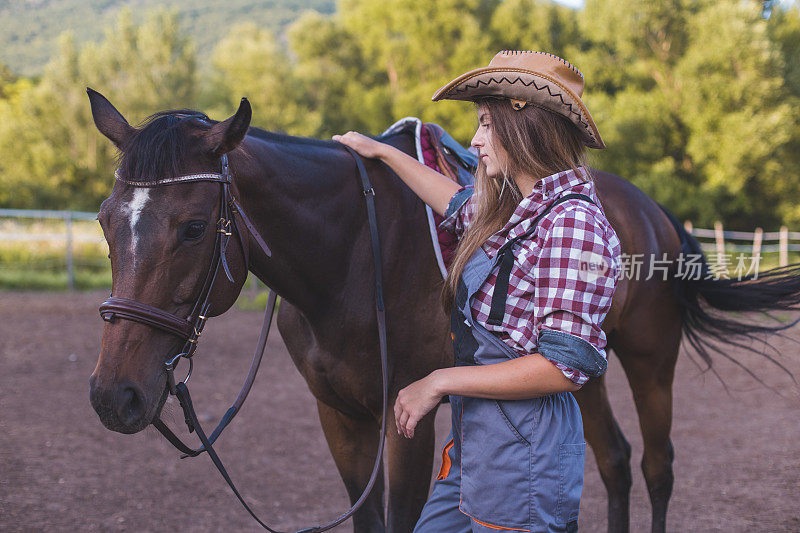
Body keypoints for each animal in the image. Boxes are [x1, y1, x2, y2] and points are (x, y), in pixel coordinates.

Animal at [86, 91, 800, 532]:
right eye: (104, 220)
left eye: (193, 228)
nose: (114, 396)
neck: (354, 253)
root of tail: (651, 210)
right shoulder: (340, 417)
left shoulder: (408, 419)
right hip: (575, 372)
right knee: (615, 460)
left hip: (650, 358)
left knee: (655, 466)